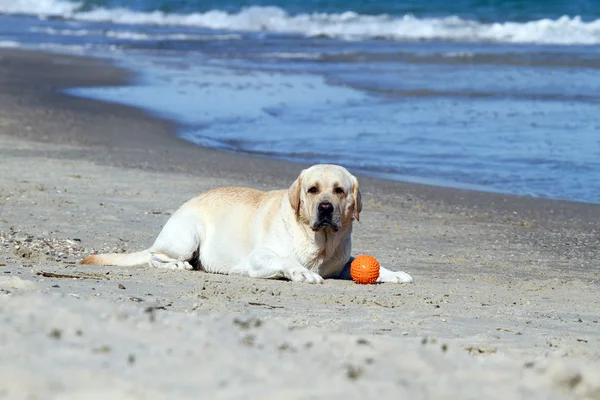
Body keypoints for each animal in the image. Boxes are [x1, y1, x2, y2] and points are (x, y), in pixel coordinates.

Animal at [83, 163, 412, 284]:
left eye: (339, 190)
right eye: (313, 190)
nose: (326, 208)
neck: (320, 243)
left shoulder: (341, 261)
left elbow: (358, 263)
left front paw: (393, 274)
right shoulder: (259, 257)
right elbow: (285, 260)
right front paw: (300, 272)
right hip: (187, 235)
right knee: (155, 257)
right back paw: (177, 265)